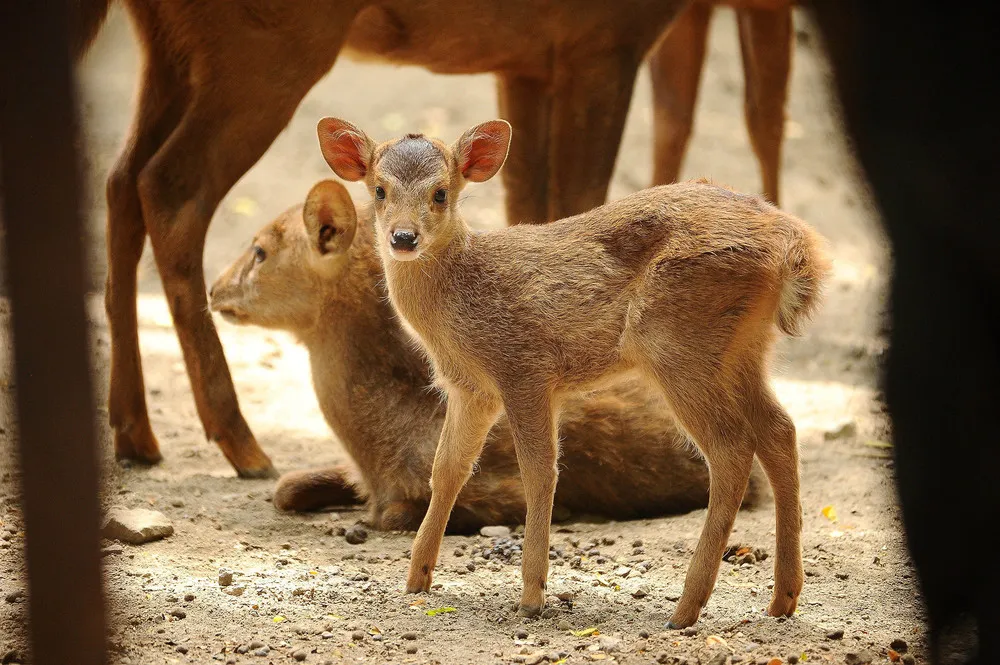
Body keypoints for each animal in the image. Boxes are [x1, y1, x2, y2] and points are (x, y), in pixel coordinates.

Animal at [70, 0, 792, 478]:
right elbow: (592, 187)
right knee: (168, 187)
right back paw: (242, 443)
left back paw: (134, 431)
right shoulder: (600, 39)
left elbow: (536, 200)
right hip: (261, 45)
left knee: (121, 178)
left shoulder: (530, 57)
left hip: (172, 46)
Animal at [205, 184, 764, 532]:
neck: (382, 438)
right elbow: (287, 486)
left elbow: (400, 515)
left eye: (260, 250)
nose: (214, 290)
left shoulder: (493, 489)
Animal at [316, 116, 832, 624]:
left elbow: (539, 471)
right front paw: (417, 580)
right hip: (743, 349)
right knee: (779, 429)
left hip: (679, 344)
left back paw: (685, 610)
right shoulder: (471, 388)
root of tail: (794, 245)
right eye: (379, 189)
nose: (403, 238)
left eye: (441, 192)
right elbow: (447, 470)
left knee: (731, 448)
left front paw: (532, 597)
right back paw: (783, 599)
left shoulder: (524, 368)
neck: (459, 299)